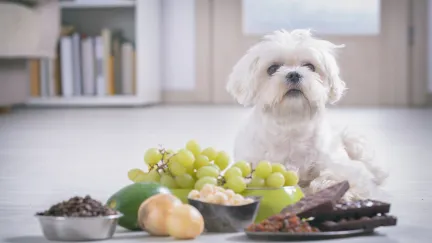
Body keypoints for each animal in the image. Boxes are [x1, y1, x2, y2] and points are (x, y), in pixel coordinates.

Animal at [226, 29, 388, 199]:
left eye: (310, 66)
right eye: (272, 68)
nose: (294, 74)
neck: (292, 122)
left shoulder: (343, 166)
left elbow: (340, 176)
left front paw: (328, 186)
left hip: (354, 142)